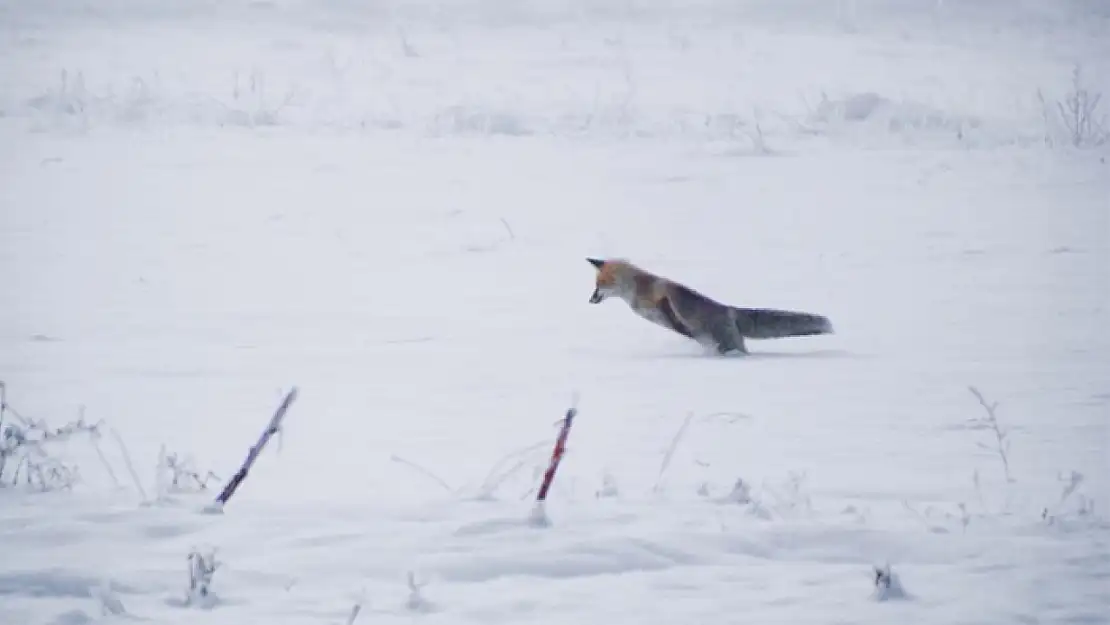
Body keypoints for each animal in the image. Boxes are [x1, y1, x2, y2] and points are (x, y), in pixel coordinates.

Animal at [590, 257, 834, 357]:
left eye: (599, 286)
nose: (590, 300)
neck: (637, 291)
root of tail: (730, 310)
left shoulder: (663, 299)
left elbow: (672, 310)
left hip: (727, 342)